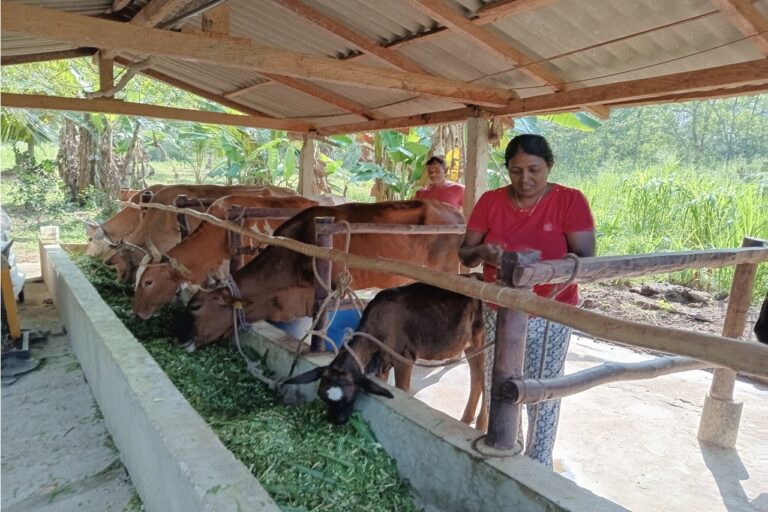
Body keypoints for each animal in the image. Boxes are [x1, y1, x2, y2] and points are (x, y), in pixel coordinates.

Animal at [282, 280, 486, 428]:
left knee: (482, 379)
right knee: (476, 378)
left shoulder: (405, 358)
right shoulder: (382, 362)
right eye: (323, 397)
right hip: (470, 345)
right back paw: (467, 419)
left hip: (481, 341)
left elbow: (402, 389)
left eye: (350, 395)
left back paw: (479, 425)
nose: (337, 421)